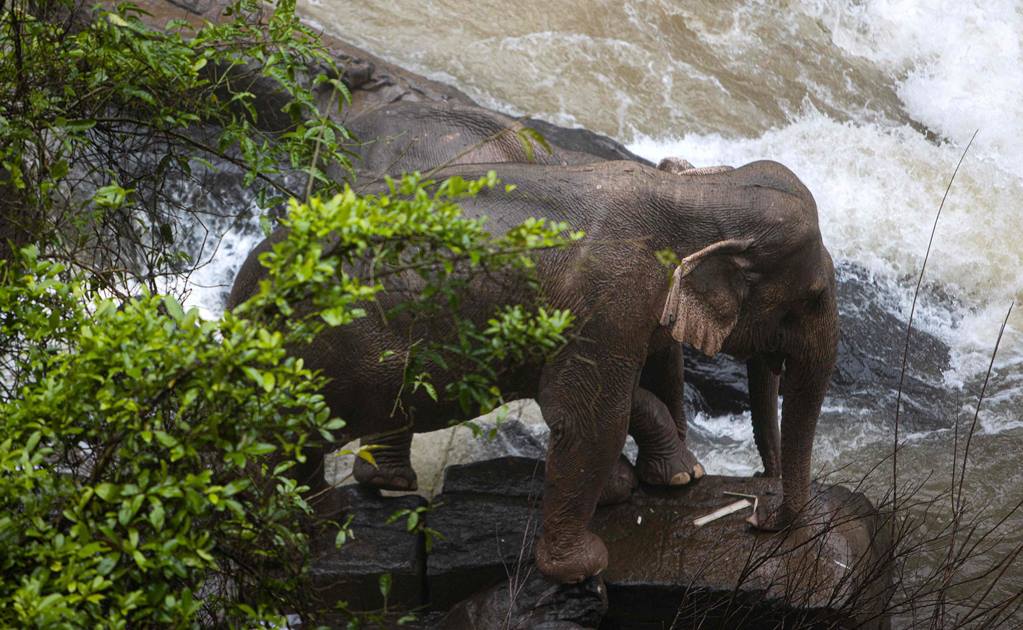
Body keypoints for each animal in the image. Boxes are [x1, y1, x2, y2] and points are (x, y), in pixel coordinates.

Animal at [230, 159, 838, 585]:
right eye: (812, 297)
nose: (757, 516)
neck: (700, 194)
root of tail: (243, 293)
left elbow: (620, 393)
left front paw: (656, 481)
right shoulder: (607, 298)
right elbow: (587, 416)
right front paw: (585, 566)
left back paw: (363, 495)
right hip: (332, 350)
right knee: (298, 431)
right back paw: (311, 524)